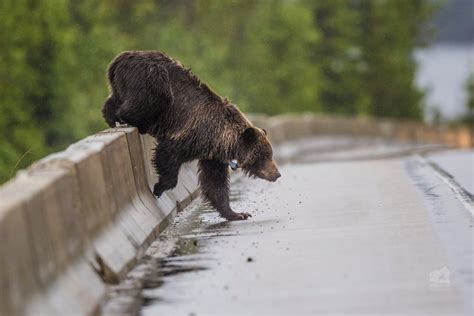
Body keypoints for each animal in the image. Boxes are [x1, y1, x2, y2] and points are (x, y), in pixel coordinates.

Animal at [102, 50, 280, 221]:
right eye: (264, 155)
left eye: (269, 154)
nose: (277, 174)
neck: (222, 139)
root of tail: (120, 58)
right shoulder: (192, 135)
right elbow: (167, 154)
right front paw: (159, 188)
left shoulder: (212, 156)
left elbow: (215, 182)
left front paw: (237, 213)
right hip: (151, 77)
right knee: (152, 98)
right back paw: (130, 120)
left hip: (123, 82)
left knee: (115, 98)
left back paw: (110, 116)